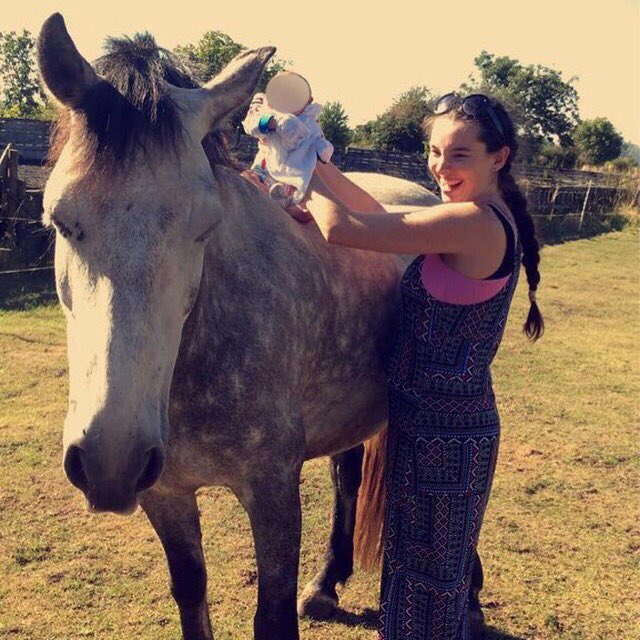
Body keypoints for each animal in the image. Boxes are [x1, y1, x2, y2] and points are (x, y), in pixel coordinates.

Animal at [37, 13, 442, 640]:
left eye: (206, 225)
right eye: (59, 219)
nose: (110, 459)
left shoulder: (272, 489)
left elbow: (272, 615)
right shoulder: (165, 494)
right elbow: (191, 593)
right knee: (347, 477)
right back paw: (326, 585)